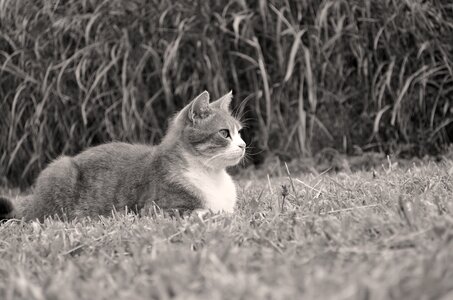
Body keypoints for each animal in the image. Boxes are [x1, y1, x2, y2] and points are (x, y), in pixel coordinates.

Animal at [0, 90, 245, 221]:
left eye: (239, 132)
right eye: (225, 133)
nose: (243, 145)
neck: (211, 175)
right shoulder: (156, 209)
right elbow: (206, 211)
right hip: (61, 169)